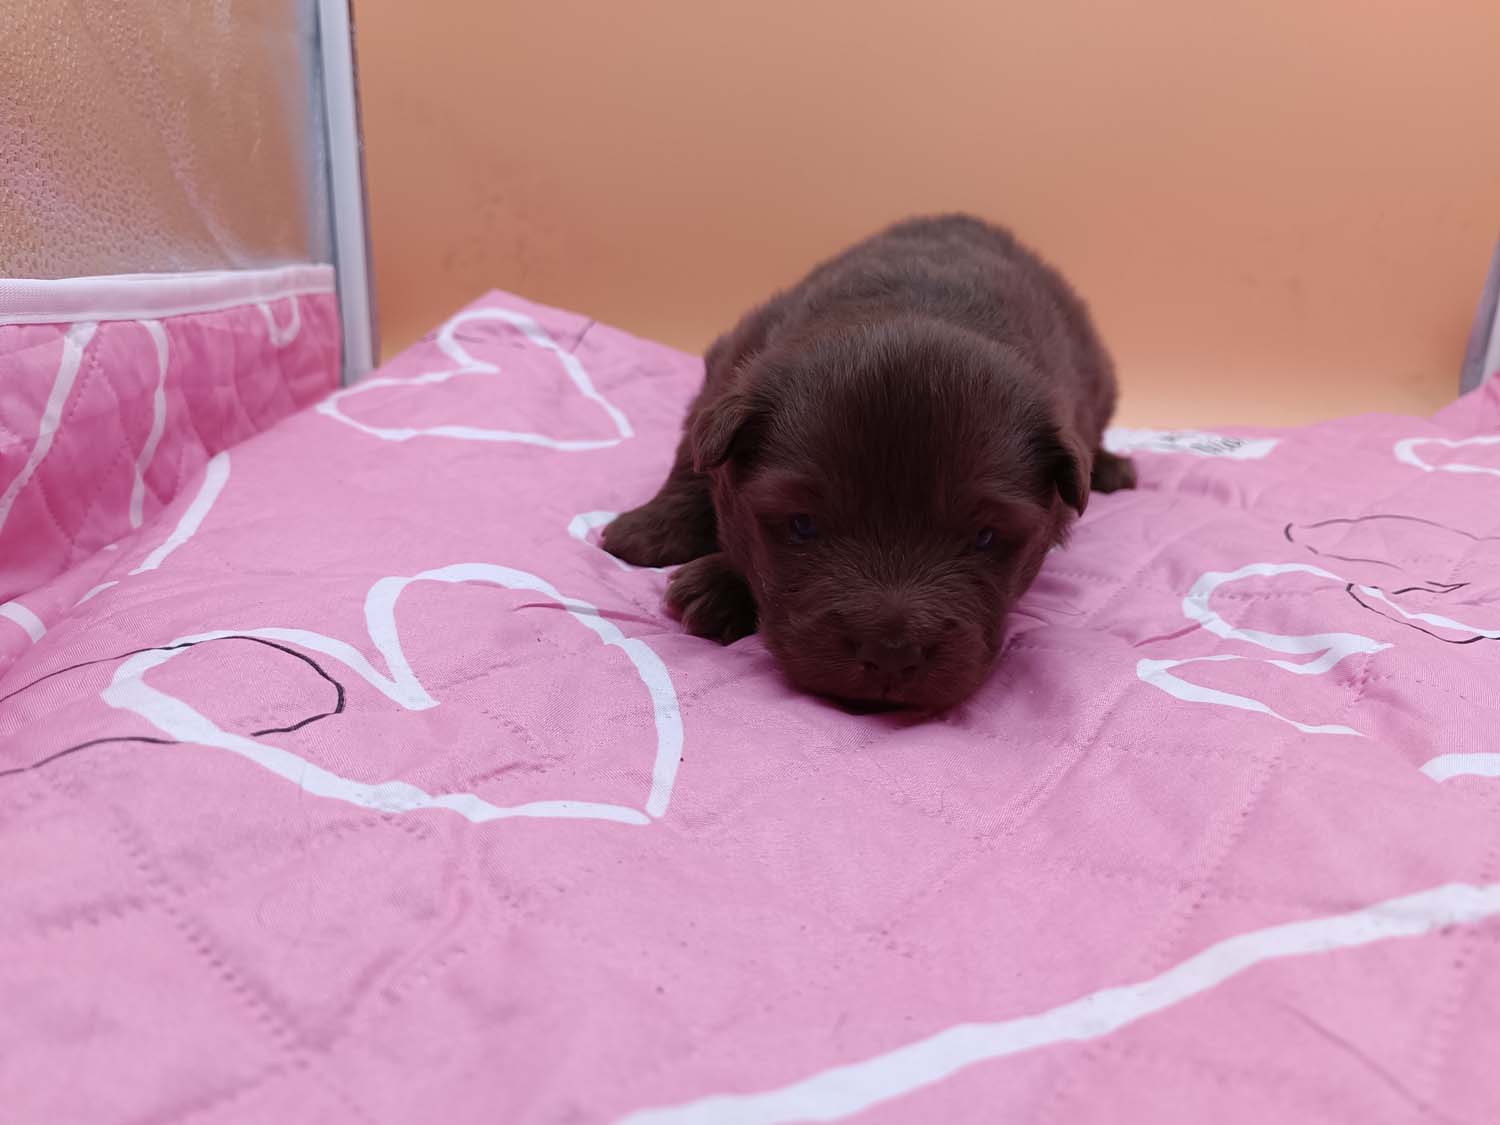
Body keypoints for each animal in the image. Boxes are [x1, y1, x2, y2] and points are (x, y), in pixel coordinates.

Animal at [603, 214, 1135, 710]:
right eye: (801, 525)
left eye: (986, 537)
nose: (892, 654)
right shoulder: (727, 368)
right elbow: (695, 459)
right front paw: (661, 540)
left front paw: (717, 584)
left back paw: (1111, 467)